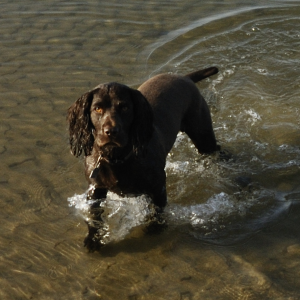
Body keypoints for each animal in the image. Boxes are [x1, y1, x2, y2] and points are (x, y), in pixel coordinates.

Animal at [67, 66, 218, 251]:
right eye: (98, 109)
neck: (117, 158)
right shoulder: (96, 190)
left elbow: (157, 213)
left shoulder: (158, 186)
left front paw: (154, 229)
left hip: (203, 136)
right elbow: (94, 217)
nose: (111, 132)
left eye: (124, 107)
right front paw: (93, 239)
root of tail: (184, 77)